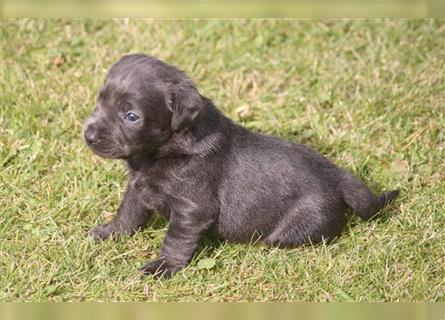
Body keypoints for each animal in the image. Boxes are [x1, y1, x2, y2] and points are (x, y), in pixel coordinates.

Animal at [83, 54, 398, 278]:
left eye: (131, 116)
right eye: (100, 100)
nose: (88, 135)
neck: (159, 152)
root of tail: (338, 175)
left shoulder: (191, 209)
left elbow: (176, 239)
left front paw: (163, 266)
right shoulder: (139, 187)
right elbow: (128, 214)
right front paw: (110, 233)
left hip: (301, 222)